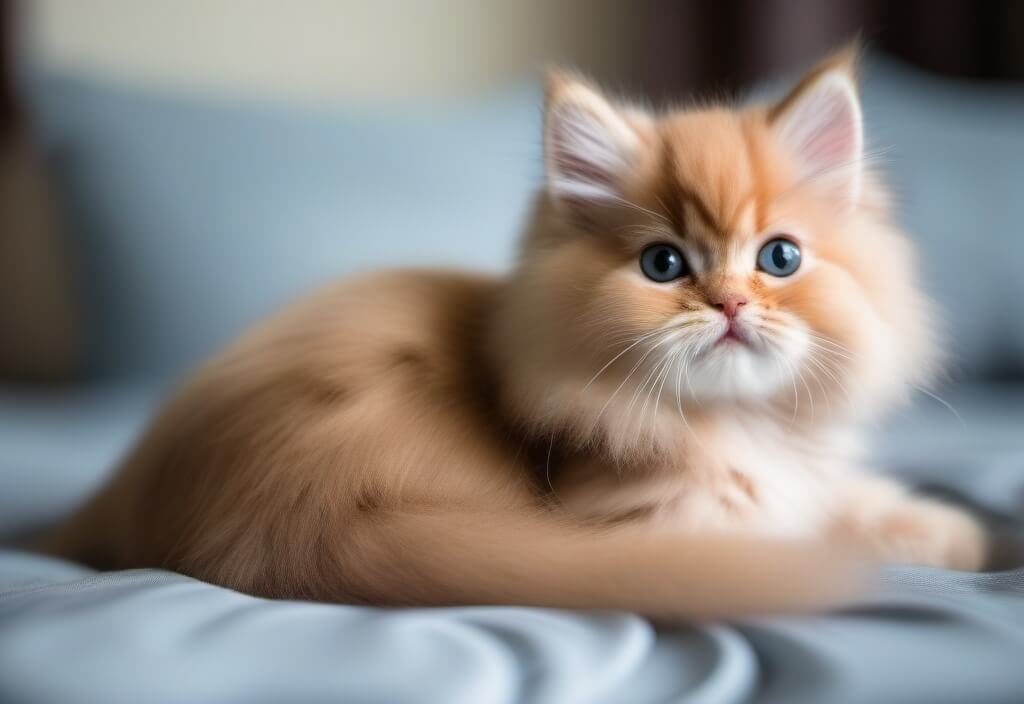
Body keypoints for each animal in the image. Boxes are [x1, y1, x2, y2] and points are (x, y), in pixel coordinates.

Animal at [36, 52, 987, 618]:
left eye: (779, 257)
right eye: (664, 265)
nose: (726, 305)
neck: (738, 426)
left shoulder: (812, 479)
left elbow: (874, 507)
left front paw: (982, 542)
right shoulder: (648, 522)